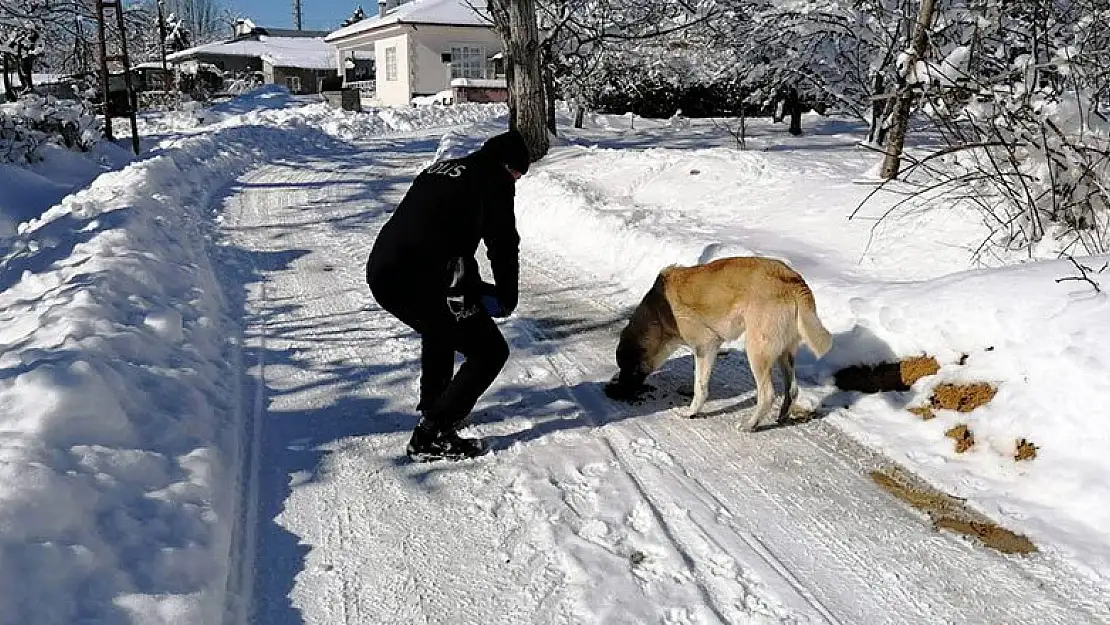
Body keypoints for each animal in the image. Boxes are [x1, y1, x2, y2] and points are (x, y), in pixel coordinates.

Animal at [608, 256, 834, 432]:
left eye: (627, 367)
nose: (616, 392)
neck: (657, 314)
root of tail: (794, 281)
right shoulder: (706, 350)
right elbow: (699, 379)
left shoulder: (705, 345)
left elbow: (700, 386)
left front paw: (691, 412)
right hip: (784, 354)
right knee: (792, 389)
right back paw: (782, 416)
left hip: (756, 351)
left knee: (767, 395)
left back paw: (750, 425)